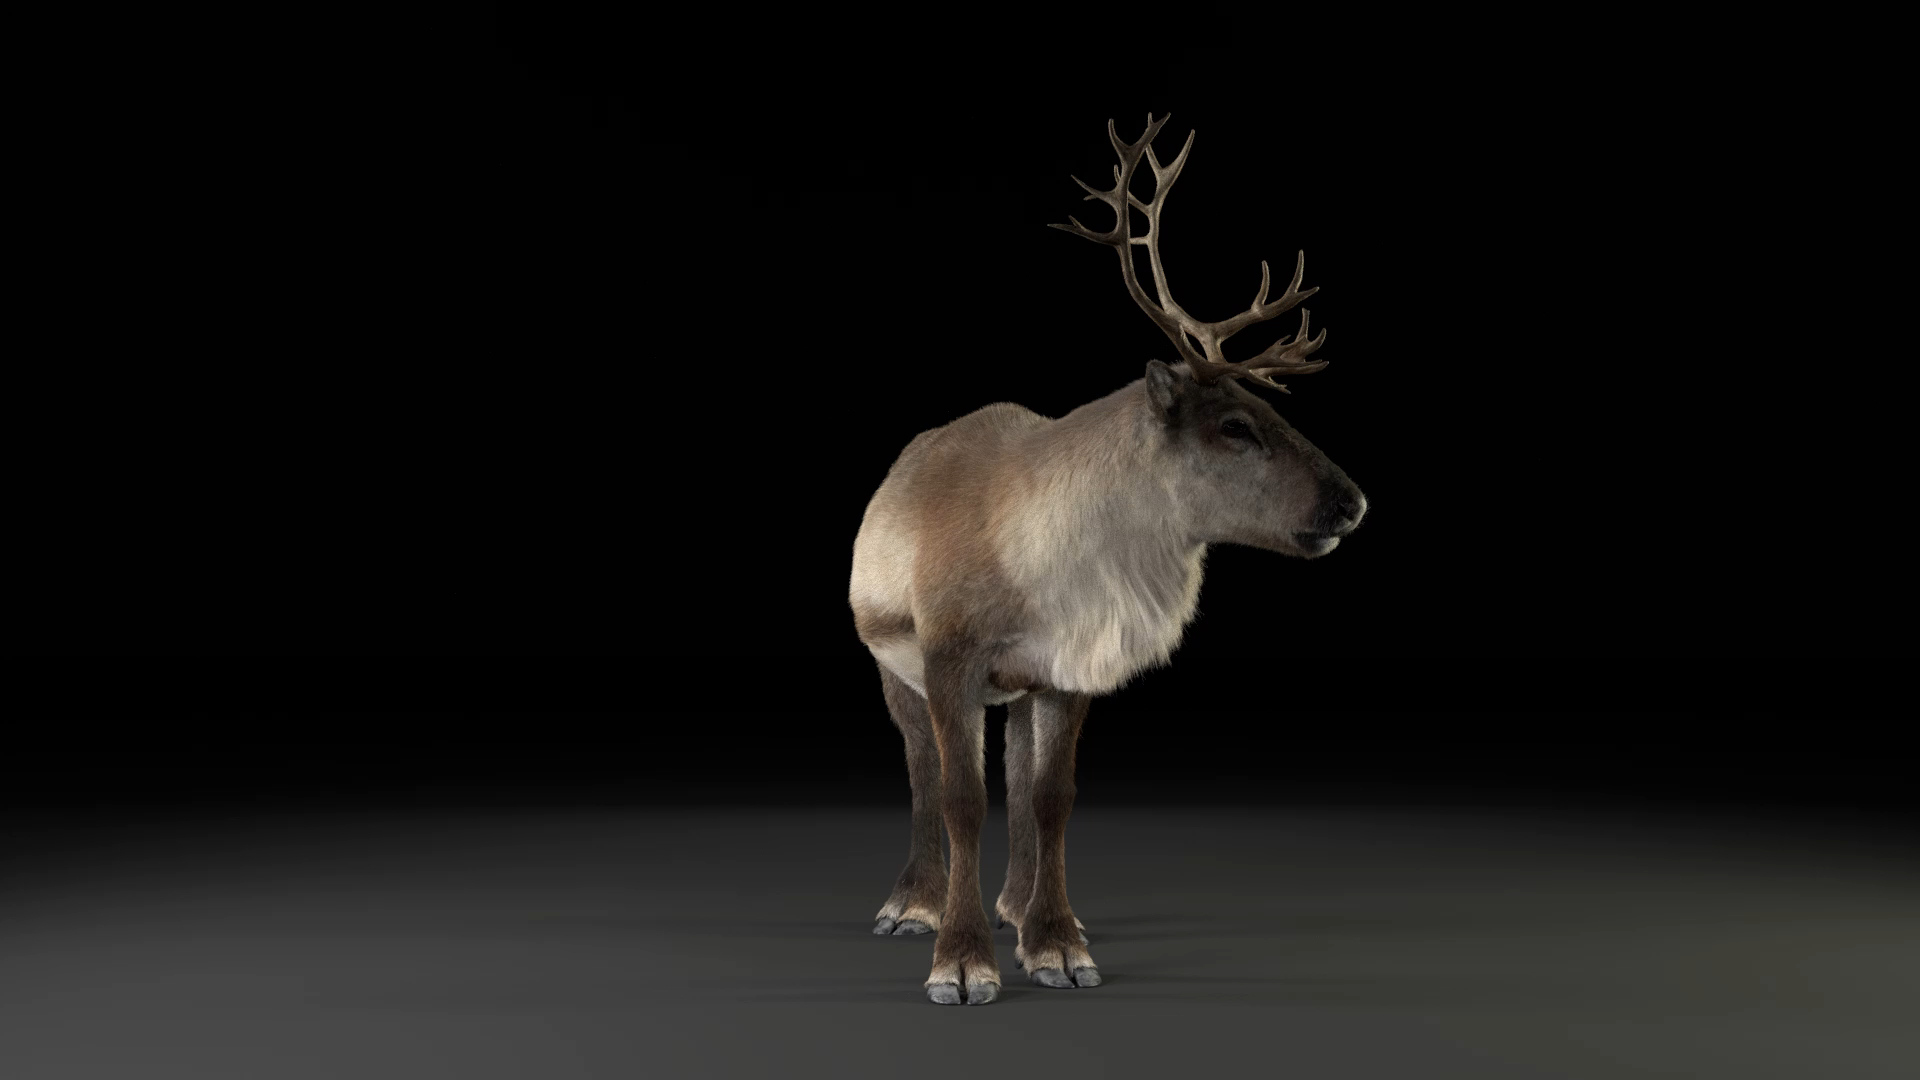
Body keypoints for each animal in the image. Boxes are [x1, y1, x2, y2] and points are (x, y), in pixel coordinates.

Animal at [848, 114, 1368, 1005]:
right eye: (1235, 424)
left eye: (1267, 411)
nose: (1352, 502)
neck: (1047, 565)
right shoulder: (948, 655)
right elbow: (958, 796)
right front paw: (960, 961)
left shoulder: (1068, 666)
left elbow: (1050, 797)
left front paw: (1057, 946)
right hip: (893, 662)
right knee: (919, 768)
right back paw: (912, 905)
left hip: (1019, 686)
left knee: (1020, 778)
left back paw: (1020, 906)